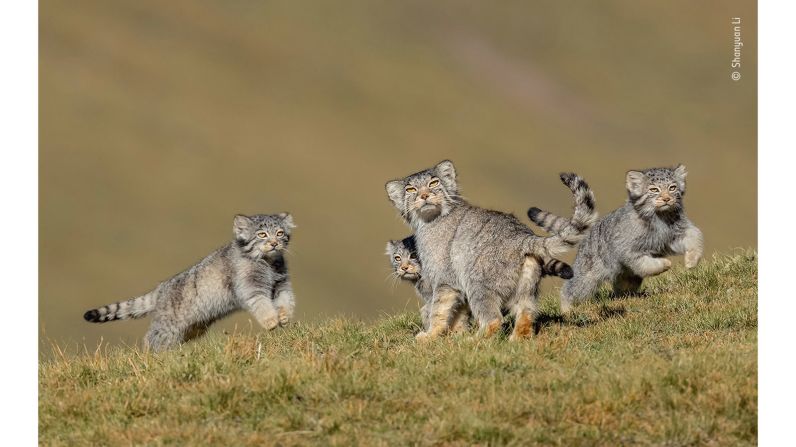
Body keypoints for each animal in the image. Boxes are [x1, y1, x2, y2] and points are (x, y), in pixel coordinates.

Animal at [82, 214, 296, 354]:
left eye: (279, 233)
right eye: (262, 235)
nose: (274, 244)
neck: (269, 264)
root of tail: (160, 289)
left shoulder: (281, 284)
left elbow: (286, 299)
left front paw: (284, 316)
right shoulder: (250, 287)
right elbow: (262, 304)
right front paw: (271, 321)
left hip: (192, 326)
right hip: (168, 325)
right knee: (152, 339)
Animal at [382, 163, 592, 342]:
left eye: (434, 183)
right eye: (410, 190)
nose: (424, 196)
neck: (430, 221)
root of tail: (522, 236)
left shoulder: (445, 280)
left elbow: (438, 311)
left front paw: (430, 336)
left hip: (477, 283)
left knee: (494, 320)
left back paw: (472, 341)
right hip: (525, 288)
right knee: (526, 313)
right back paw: (516, 340)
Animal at [528, 163, 704, 314]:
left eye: (672, 188)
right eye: (654, 189)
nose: (667, 198)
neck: (660, 218)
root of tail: (588, 233)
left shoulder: (676, 234)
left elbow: (695, 237)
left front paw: (691, 260)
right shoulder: (628, 250)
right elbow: (646, 264)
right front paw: (664, 264)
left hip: (625, 277)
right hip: (587, 277)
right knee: (570, 290)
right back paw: (567, 309)